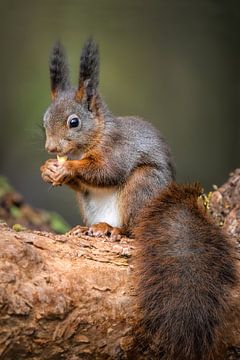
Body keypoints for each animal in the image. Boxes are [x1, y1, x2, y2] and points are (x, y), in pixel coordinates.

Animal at [40, 39, 237, 360]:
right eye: (44, 120)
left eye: (74, 122)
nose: (51, 148)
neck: (98, 135)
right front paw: (48, 170)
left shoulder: (119, 149)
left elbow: (106, 171)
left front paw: (67, 168)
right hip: (89, 204)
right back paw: (87, 229)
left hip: (142, 187)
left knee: (132, 229)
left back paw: (113, 230)